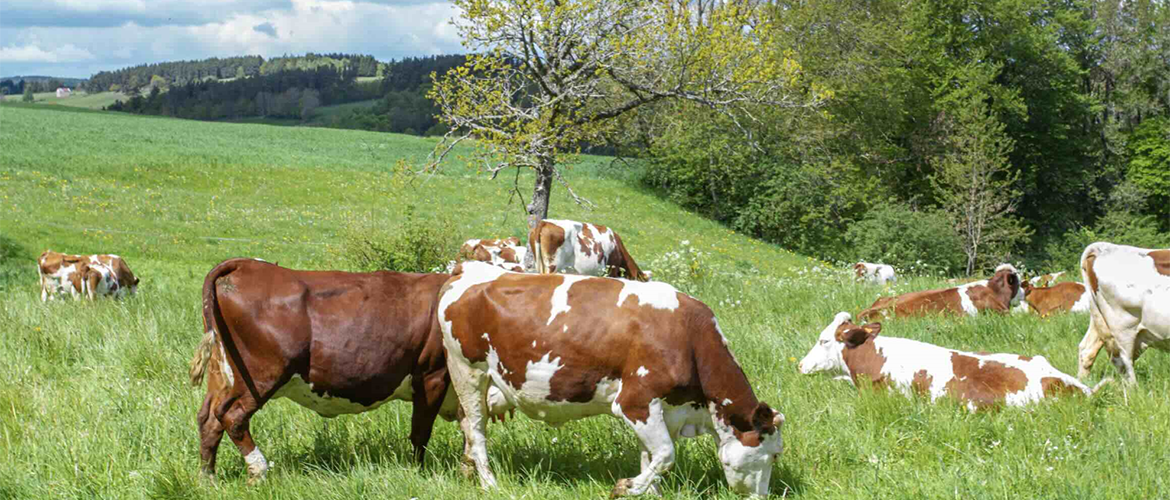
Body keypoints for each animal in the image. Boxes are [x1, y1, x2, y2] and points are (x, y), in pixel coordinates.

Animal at [188, 258, 466, 483]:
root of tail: (244, 264)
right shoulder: (432, 375)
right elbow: (421, 432)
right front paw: (419, 473)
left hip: (222, 372)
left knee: (209, 418)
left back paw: (207, 478)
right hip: (261, 374)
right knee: (232, 416)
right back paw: (258, 472)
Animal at [437, 262, 785, 497]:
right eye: (774, 454)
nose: (762, 496)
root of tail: (468, 270)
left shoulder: (665, 410)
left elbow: (651, 458)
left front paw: (649, 492)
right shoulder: (636, 401)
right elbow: (666, 455)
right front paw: (626, 487)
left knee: (467, 424)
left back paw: (468, 469)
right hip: (468, 370)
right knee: (477, 429)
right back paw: (489, 482)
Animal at [1075, 242, 1170, 384]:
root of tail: (1105, 247)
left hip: (1098, 319)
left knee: (1087, 351)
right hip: (1122, 327)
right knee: (1124, 361)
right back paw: (1134, 389)